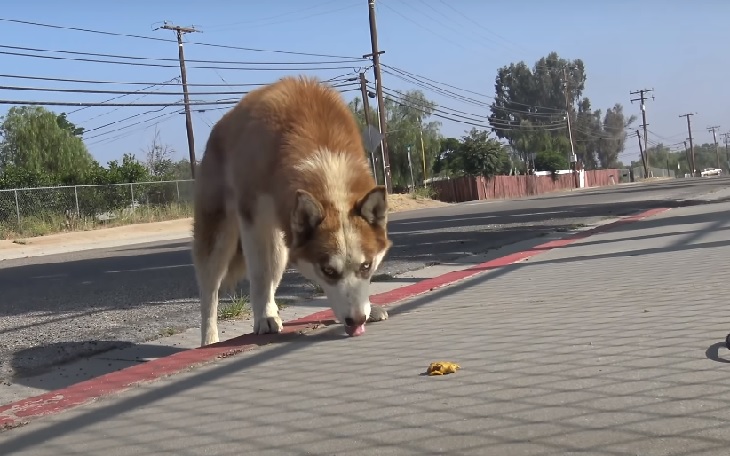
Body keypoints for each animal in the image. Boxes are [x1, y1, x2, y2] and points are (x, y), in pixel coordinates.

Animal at [191, 75, 390, 346]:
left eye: (366, 266)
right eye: (328, 270)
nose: (357, 321)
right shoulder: (252, 219)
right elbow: (259, 275)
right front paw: (263, 318)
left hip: (280, 249)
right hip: (219, 238)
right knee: (210, 290)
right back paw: (211, 339)